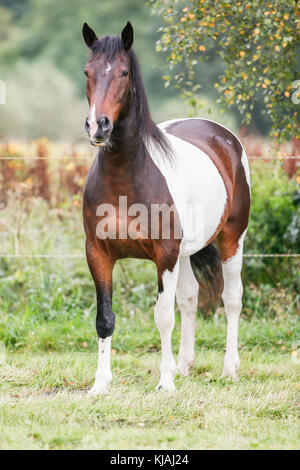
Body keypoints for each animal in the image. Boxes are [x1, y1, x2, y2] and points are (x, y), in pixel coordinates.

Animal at [81, 23, 251, 396]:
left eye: (124, 72)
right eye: (87, 72)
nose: (98, 126)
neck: (126, 176)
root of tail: (223, 136)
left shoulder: (165, 254)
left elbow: (163, 316)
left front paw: (165, 383)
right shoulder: (98, 253)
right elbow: (104, 319)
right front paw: (100, 384)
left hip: (232, 240)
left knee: (232, 298)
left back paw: (229, 369)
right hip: (186, 253)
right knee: (189, 299)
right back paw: (184, 366)